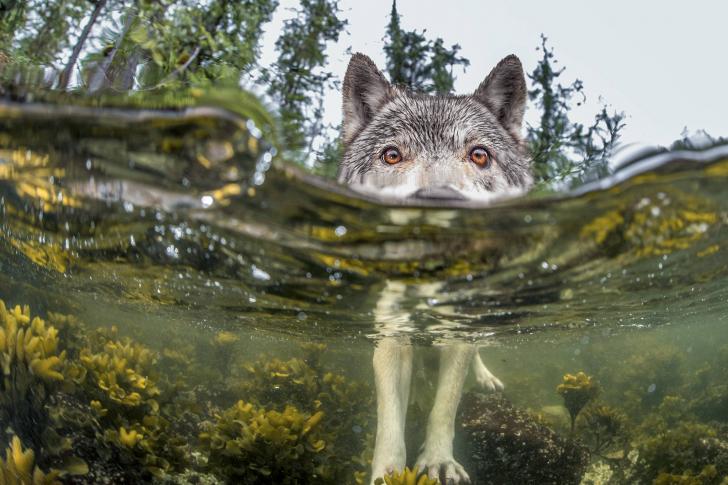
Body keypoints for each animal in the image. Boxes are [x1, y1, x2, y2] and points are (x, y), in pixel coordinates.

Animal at [338, 54, 532, 484]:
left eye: (479, 155)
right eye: (392, 155)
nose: (439, 203)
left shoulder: (457, 334)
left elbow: (445, 406)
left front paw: (439, 462)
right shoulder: (391, 335)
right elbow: (390, 419)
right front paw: (388, 472)